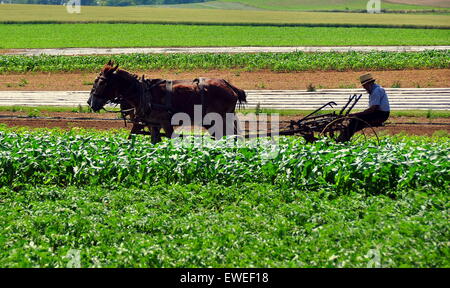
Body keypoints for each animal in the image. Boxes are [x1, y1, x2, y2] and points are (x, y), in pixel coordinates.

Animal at [87, 61, 246, 142]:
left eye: (101, 82)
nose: (90, 102)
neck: (144, 93)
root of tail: (229, 86)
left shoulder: (165, 123)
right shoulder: (152, 124)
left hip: (219, 119)